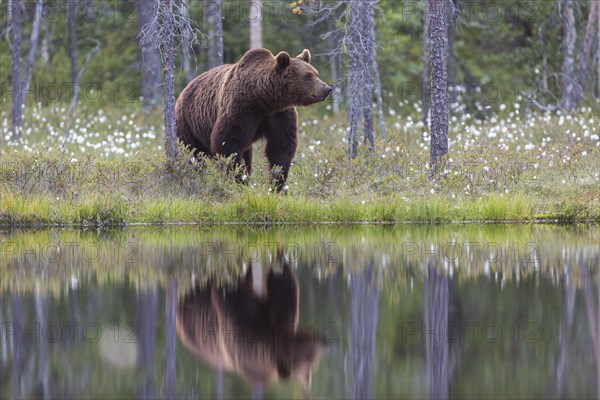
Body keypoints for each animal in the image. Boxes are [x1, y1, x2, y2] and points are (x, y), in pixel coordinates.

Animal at [176, 47, 332, 191]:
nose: (327, 89)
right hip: (188, 123)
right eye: (308, 76)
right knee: (192, 154)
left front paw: (277, 182)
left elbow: (281, 146)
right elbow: (227, 143)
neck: (263, 99)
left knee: (247, 155)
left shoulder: (279, 115)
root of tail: (184, 90)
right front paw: (236, 178)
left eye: (316, 74)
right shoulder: (240, 109)